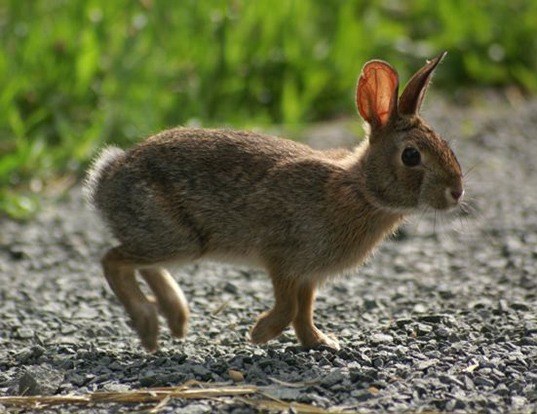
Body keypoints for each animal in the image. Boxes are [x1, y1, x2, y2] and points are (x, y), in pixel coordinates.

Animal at [84, 50, 460, 350]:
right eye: (411, 156)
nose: (456, 192)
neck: (361, 189)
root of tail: (106, 178)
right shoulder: (282, 257)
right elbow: (289, 308)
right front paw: (259, 334)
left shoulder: (308, 275)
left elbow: (305, 312)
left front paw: (321, 342)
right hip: (177, 237)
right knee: (112, 260)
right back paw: (149, 326)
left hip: (172, 241)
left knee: (139, 263)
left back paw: (175, 319)